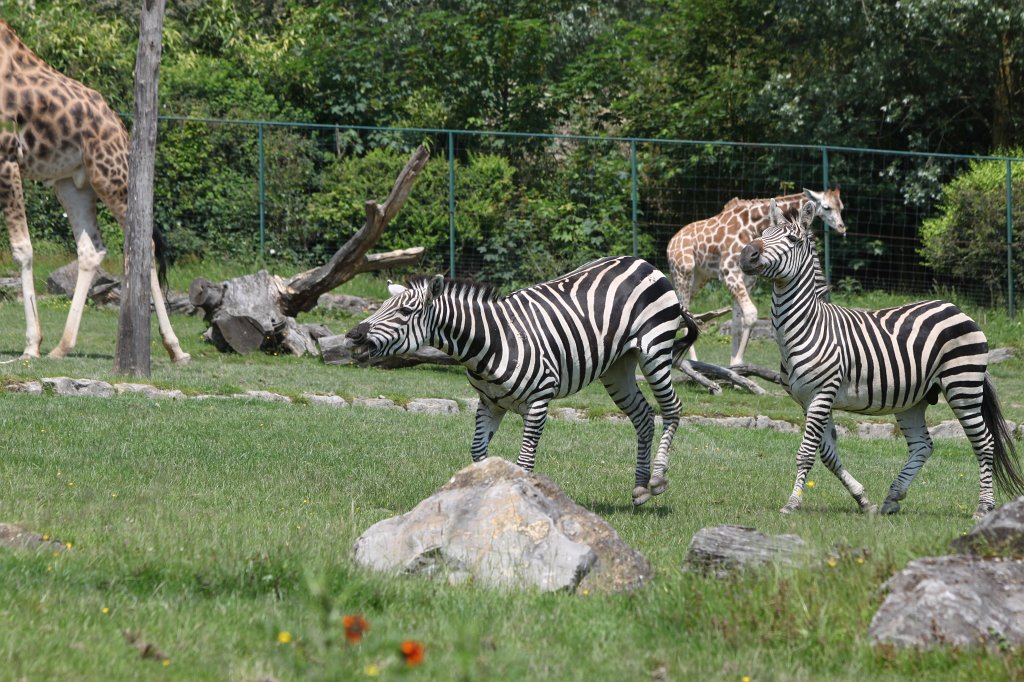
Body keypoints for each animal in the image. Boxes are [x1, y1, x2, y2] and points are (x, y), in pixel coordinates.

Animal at [344, 255, 699, 505]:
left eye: (405, 312)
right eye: (382, 307)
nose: (352, 336)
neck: (491, 341)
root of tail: (643, 262)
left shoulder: (539, 400)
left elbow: (525, 459)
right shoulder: (489, 402)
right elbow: (478, 452)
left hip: (654, 348)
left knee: (672, 408)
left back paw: (658, 480)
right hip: (617, 366)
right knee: (643, 415)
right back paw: (640, 488)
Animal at [738, 199, 1024, 518]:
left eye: (792, 239)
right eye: (763, 233)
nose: (746, 254)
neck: (806, 327)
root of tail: (956, 308)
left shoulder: (822, 394)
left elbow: (806, 453)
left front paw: (792, 503)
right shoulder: (806, 401)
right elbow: (827, 455)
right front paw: (863, 500)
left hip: (963, 384)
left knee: (984, 442)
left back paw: (983, 507)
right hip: (916, 399)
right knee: (923, 445)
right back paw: (892, 498)